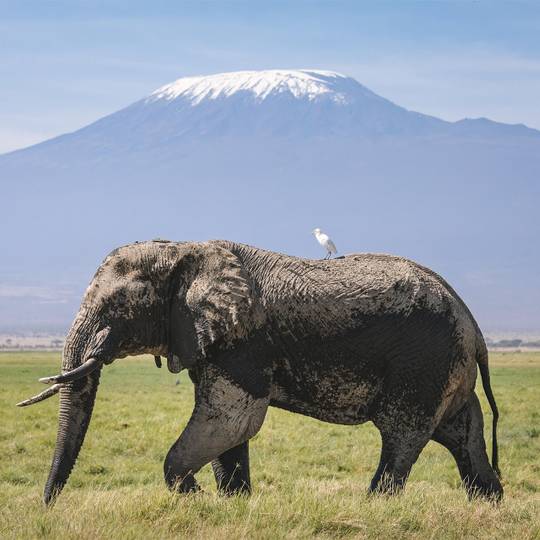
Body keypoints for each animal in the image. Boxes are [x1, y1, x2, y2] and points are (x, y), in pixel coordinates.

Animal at [17, 240, 506, 502]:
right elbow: (230, 428)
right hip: (446, 365)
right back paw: (488, 504)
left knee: (403, 433)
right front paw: (231, 505)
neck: (186, 249)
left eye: (118, 305)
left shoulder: (245, 343)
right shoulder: (211, 339)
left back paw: (374, 506)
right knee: (461, 431)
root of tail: (474, 325)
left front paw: (192, 496)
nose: (47, 505)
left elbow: (234, 418)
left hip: (423, 360)